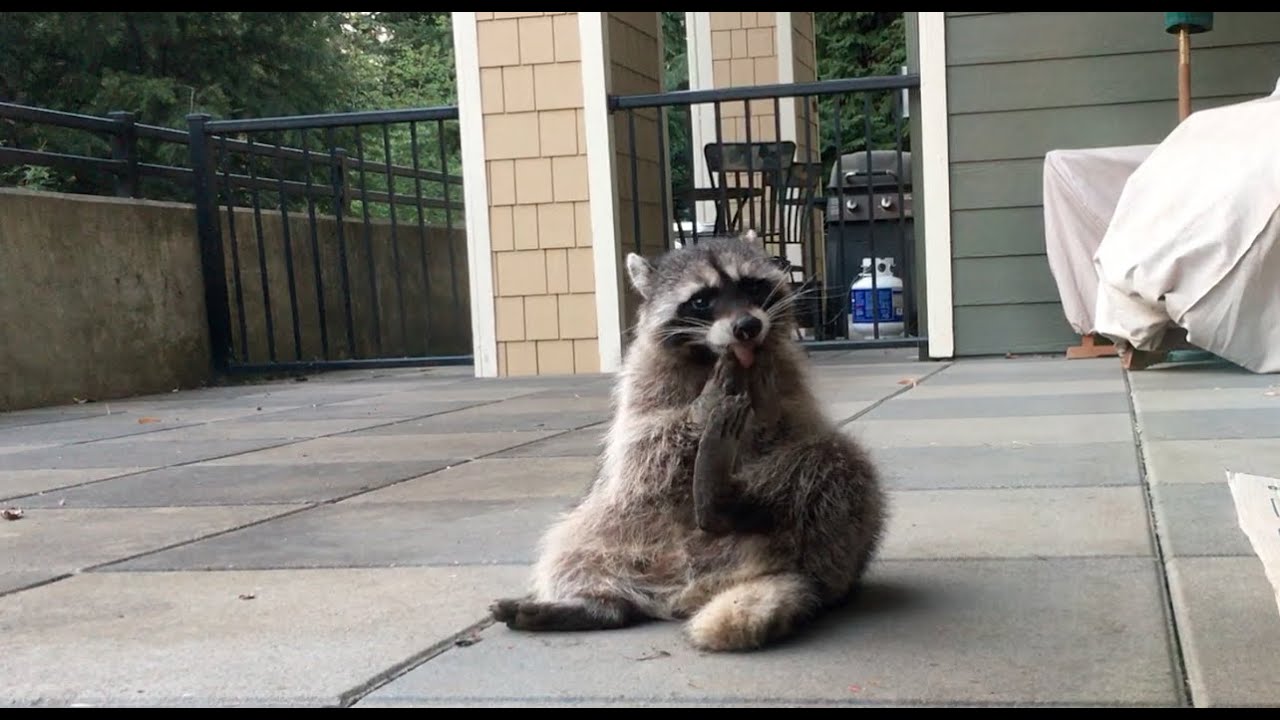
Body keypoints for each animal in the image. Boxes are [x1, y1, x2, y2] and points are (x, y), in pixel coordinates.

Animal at [490, 231, 887, 652]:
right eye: (701, 300)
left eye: (751, 285)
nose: (748, 326)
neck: (710, 356)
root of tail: (687, 590)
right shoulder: (642, 383)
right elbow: (645, 449)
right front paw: (700, 409)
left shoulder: (786, 377)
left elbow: (788, 429)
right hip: (612, 525)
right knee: (569, 545)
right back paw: (596, 604)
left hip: (834, 535)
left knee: (837, 462)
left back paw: (723, 502)